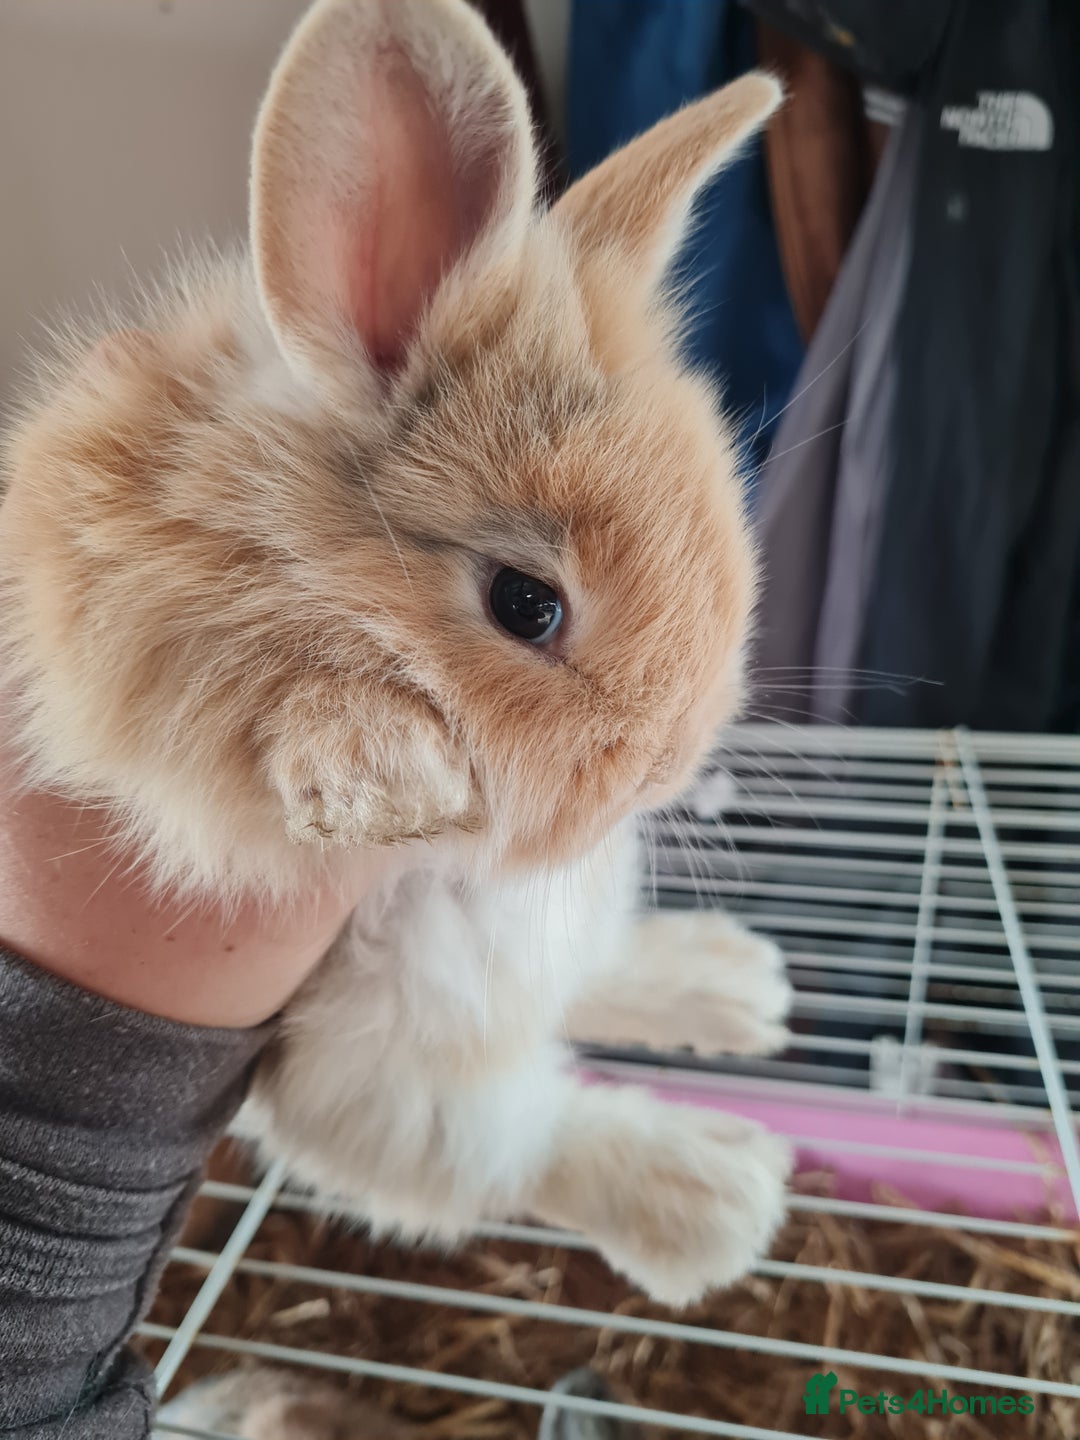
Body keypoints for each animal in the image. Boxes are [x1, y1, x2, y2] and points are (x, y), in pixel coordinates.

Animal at [0, 0, 792, 1308]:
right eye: (526, 605)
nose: (661, 772)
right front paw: (381, 774)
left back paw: (737, 989)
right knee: (516, 1134)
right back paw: (722, 1194)